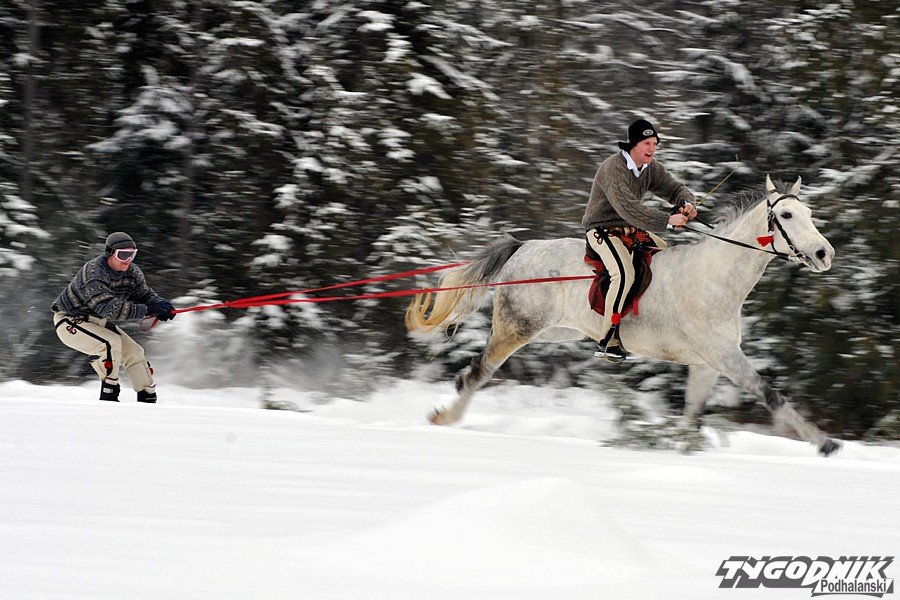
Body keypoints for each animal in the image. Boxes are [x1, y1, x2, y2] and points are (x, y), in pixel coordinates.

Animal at [406, 175, 841, 455]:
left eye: (808, 213)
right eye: (787, 217)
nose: (824, 253)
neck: (714, 276)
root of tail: (523, 247)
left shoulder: (706, 365)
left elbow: (691, 415)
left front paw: (680, 451)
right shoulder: (725, 358)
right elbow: (771, 395)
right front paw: (825, 443)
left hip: (552, 331)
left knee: (477, 368)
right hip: (519, 327)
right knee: (482, 370)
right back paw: (445, 417)